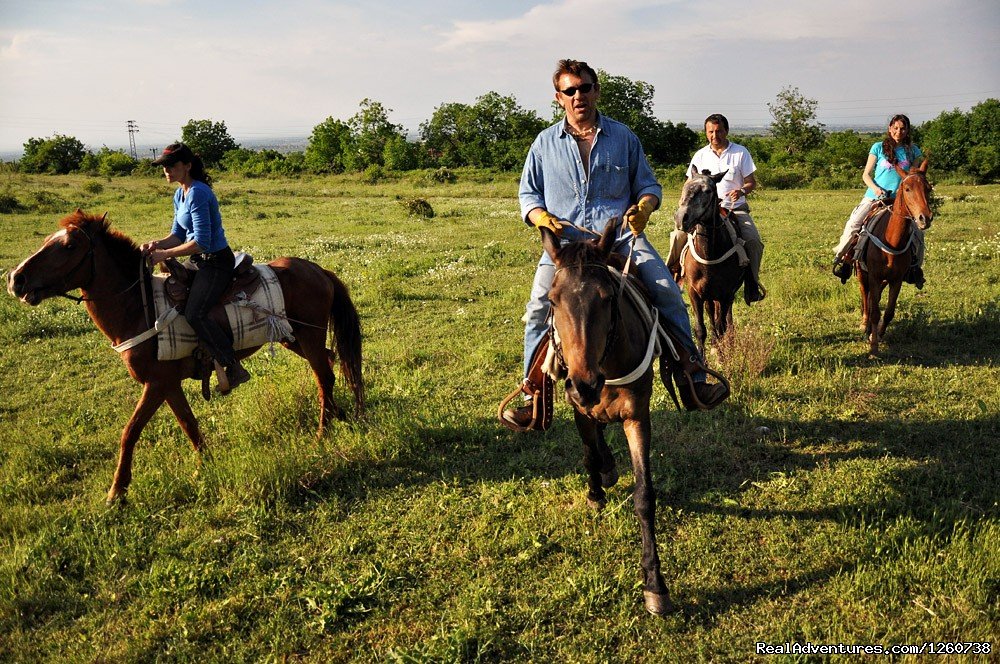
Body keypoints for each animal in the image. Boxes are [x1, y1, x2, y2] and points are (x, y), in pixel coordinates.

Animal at [5, 210, 366, 500]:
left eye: (68, 246)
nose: (16, 279)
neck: (138, 307)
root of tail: (318, 270)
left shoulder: (155, 383)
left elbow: (129, 432)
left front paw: (117, 492)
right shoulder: (168, 385)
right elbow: (188, 424)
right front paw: (205, 466)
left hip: (308, 335)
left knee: (325, 375)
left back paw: (322, 433)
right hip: (295, 338)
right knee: (331, 362)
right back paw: (340, 415)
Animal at [540, 220, 680, 616]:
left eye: (606, 298)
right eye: (552, 300)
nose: (585, 384)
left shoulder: (637, 418)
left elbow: (644, 496)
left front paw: (655, 584)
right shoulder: (579, 410)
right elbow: (589, 454)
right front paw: (595, 491)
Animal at [676, 166, 748, 358]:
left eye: (708, 191)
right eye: (686, 185)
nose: (681, 218)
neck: (709, 255)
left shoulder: (725, 293)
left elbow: (721, 325)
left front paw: (723, 356)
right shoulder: (694, 293)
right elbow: (700, 329)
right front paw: (703, 359)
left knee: (725, 317)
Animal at [856, 161, 932, 356]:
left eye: (928, 188)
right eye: (907, 188)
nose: (925, 218)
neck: (891, 240)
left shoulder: (896, 280)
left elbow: (889, 312)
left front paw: (878, 335)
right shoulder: (874, 277)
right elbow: (875, 312)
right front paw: (874, 347)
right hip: (861, 272)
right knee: (865, 293)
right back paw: (864, 323)